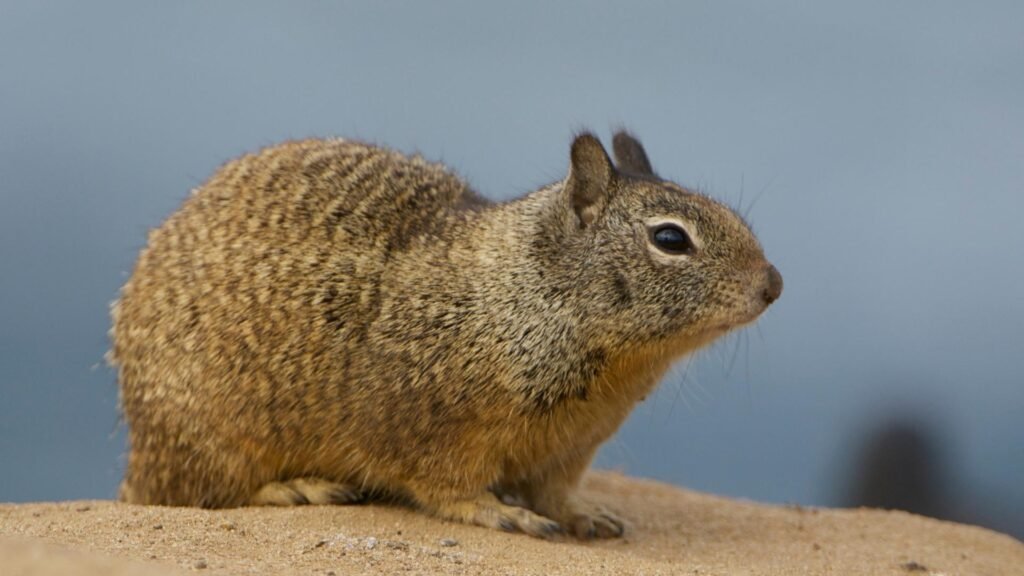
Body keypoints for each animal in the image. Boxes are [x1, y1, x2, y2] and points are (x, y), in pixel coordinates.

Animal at [110, 130, 782, 539]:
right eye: (670, 238)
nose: (773, 284)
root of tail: (140, 451)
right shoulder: (434, 429)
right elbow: (448, 486)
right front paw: (500, 512)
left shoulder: (570, 448)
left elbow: (557, 492)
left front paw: (585, 514)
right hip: (214, 437)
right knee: (195, 492)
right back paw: (297, 487)